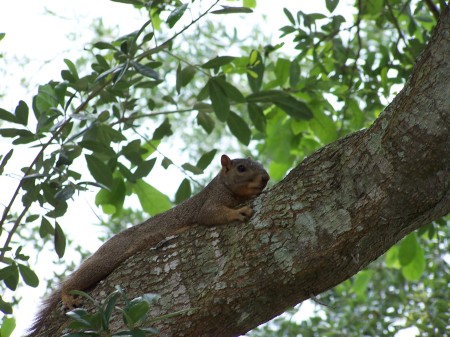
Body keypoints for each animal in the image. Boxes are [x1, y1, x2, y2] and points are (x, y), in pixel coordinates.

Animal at [29, 154, 270, 334]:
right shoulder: (209, 203)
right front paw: (238, 212)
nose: (266, 178)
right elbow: (210, 214)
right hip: (108, 256)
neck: (224, 186)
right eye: (241, 168)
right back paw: (67, 294)